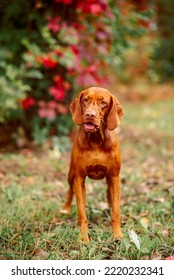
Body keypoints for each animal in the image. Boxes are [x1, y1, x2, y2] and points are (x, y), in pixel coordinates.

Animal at [60, 86, 124, 242]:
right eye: (85, 100)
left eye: (103, 102)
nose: (89, 114)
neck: (96, 140)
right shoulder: (79, 178)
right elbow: (82, 212)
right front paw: (83, 238)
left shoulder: (115, 176)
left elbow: (116, 211)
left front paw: (117, 235)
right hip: (71, 174)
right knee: (70, 191)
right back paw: (66, 208)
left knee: (109, 192)